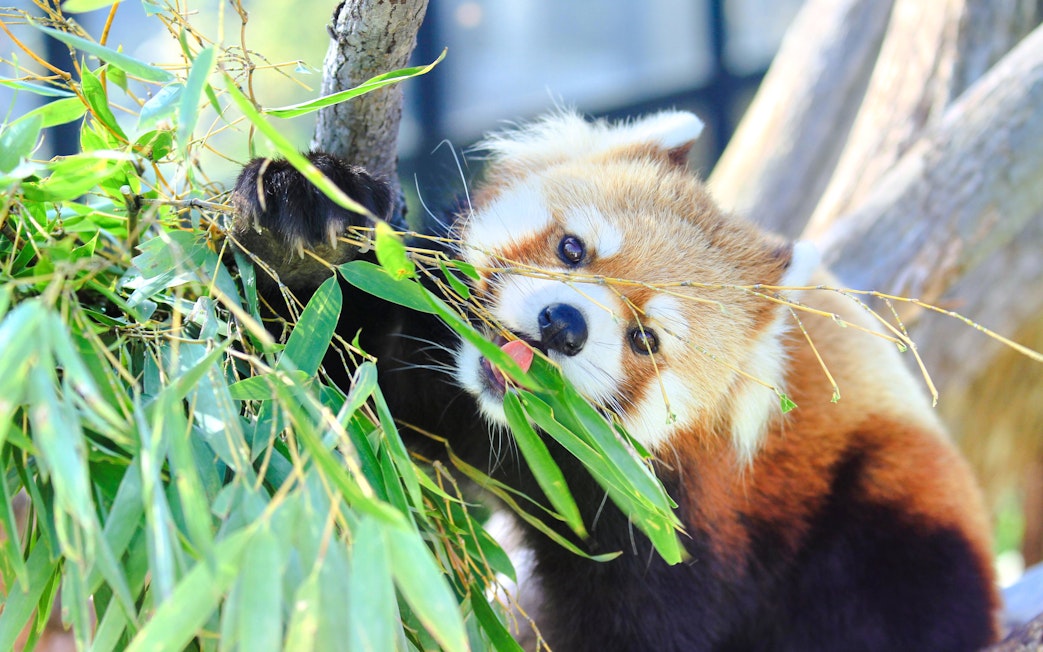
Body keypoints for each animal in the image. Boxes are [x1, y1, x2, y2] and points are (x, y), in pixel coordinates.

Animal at [231, 111, 999, 651]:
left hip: (886, 521)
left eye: (644, 338)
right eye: (572, 249)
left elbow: (639, 623)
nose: (563, 325)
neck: (513, 432)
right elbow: (310, 372)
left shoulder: (677, 519)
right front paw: (305, 212)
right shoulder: (431, 371)